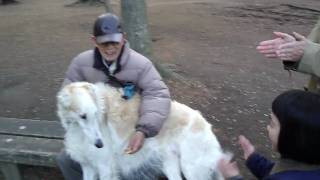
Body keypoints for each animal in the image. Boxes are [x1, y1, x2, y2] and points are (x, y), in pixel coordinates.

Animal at [57, 82, 228, 180]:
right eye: (83, 116)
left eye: (96, 113)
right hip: (171, 164)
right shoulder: (88, 166)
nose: (100, 144)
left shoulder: (105, 166)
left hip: (192, 170)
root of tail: (205, 123)